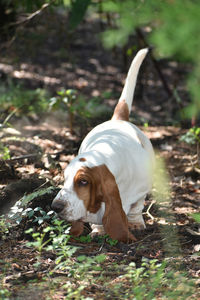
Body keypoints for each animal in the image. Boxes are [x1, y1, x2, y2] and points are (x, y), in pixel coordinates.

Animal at [52, 48, 155, 243]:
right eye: (65, 178)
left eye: (83, 181)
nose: (56, 207)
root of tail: (118, 119)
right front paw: (99, 230)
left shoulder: (138, 190)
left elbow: (135, 207)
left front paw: (134, 224)